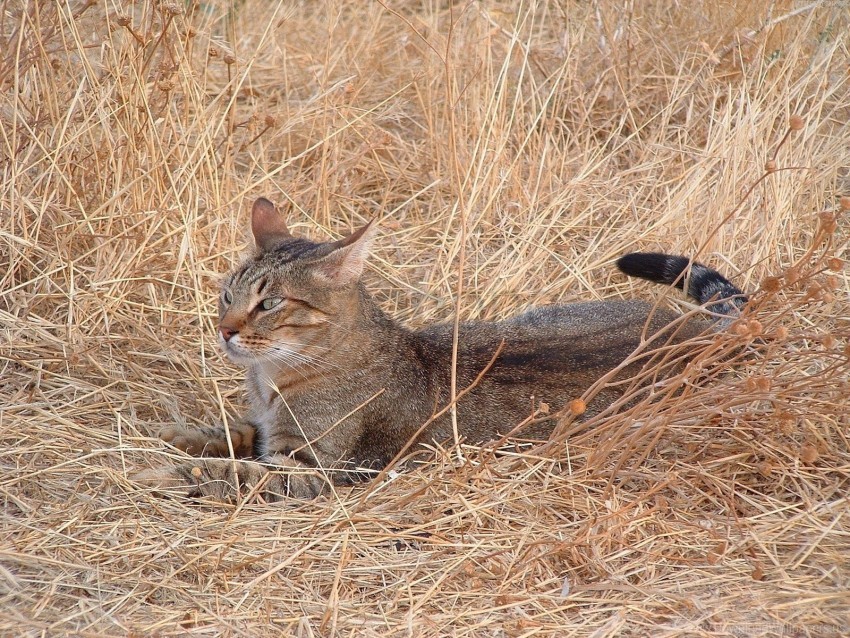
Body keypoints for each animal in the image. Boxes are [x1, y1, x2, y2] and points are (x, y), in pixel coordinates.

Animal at [132, 198, 744, 502]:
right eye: (227, 294)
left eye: (269, 304)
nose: (224, 329)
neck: (271, 379)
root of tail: (693, 334)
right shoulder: (263, 430)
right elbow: (232, 433)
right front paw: (179, 434)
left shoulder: (313, 466)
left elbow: (236, 473)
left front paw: (163, 472)